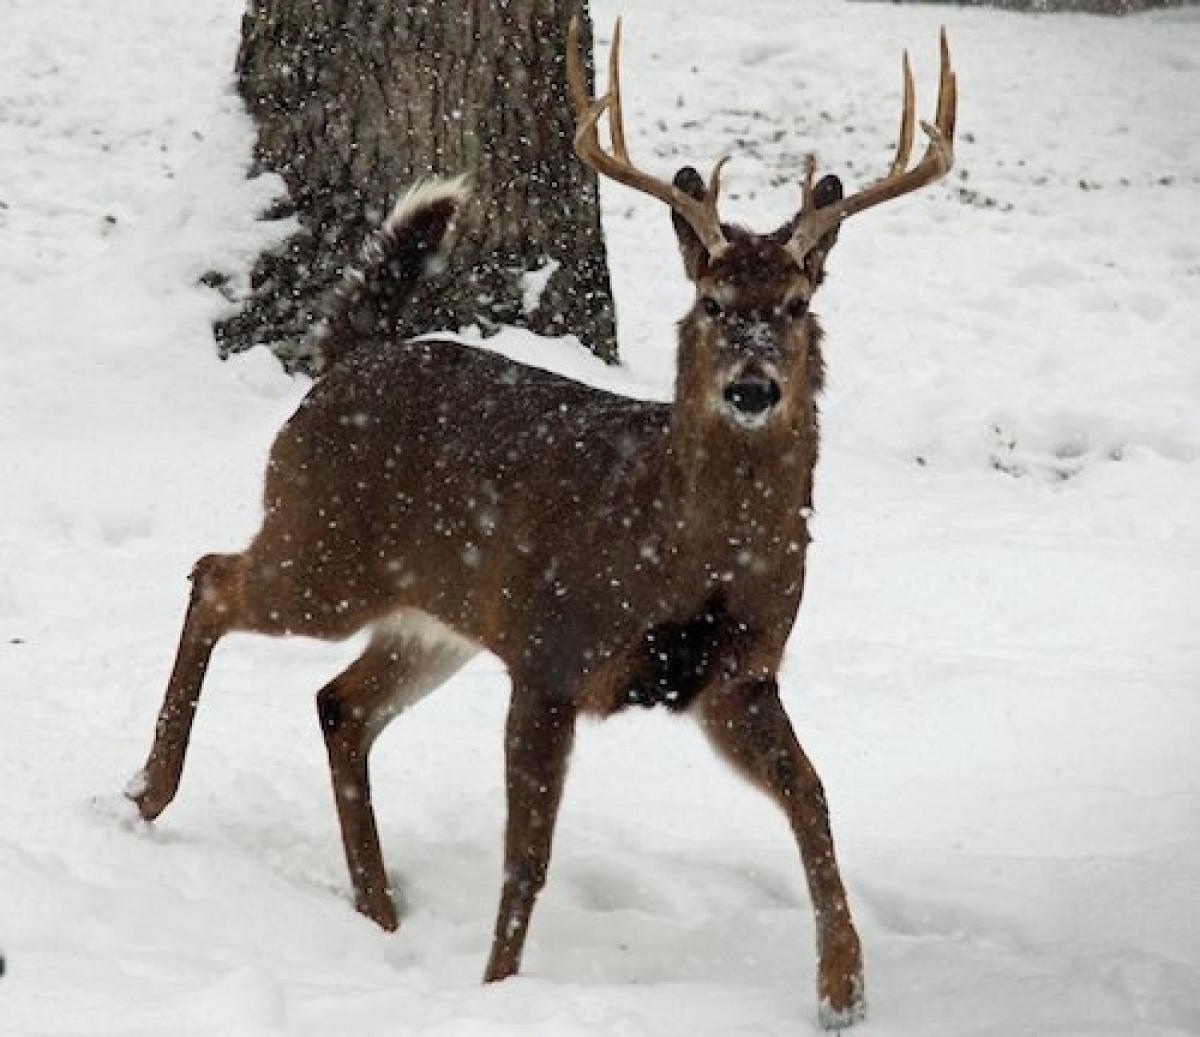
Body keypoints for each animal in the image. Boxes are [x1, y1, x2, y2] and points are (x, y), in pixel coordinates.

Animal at [129, 20, 955, 1032]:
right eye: (713, 304)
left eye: (798, 307)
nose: (753, 387)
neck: (680, 550)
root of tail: (346, 359)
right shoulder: (552, 650)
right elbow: (528, 854)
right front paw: (498, 990)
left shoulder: (737, 674)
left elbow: (814, 795)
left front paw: (844, 988)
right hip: (323, 549)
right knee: (212, 575)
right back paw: (150, 793)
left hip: (434, 616)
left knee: (340, 703)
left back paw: (380, 909)